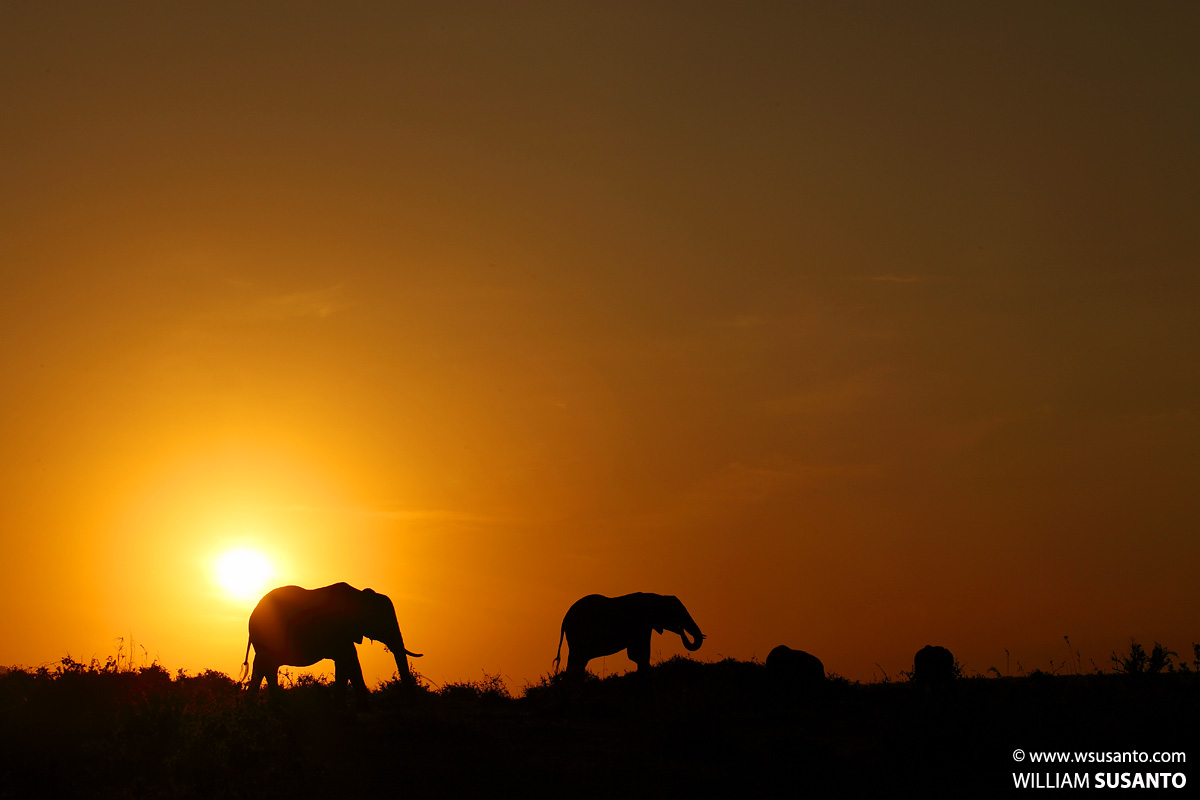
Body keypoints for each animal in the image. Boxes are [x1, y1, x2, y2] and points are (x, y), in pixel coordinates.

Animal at [241, 582, 422, 708]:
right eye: (381, 621)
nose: (411, 706)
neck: (359, 596)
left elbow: (348, 662)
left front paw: (343, 707)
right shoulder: (338, 628)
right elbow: (349, 660)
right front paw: (362, 709)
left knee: (264, 667)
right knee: (267, 666)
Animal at [553, 592, 704, 676]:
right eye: (677, 614)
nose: (681, 630)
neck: (656, 597)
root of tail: (564, 620)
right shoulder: (640, 625)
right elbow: (639, 654)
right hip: (578, 635)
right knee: (577, 660)